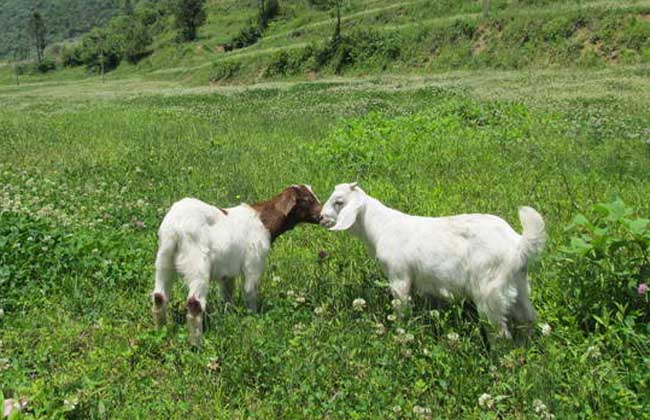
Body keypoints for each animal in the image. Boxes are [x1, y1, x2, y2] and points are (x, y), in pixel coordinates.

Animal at [153, 185, 324, 346]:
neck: (264, 222)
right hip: (197, 264)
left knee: (159, 296)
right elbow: (249, 291)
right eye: (306, 200)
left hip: (163, 259)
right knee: (194, 303)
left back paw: (162, 333)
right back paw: (197, 344)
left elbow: (228, 294)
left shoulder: (227, 272)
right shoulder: (253, 262)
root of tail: (175, 227)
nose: (322, 215)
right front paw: (253, 318)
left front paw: (229, 316)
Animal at [318, 182, 540, 340]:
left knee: (500, 332)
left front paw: (399, 333)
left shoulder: (399, 276)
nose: (320, 217)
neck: (381, 227)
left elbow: (401, 309)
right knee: (528, 318)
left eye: (339, 202)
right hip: (519, 284)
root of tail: (517, 243)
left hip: (489, 289)